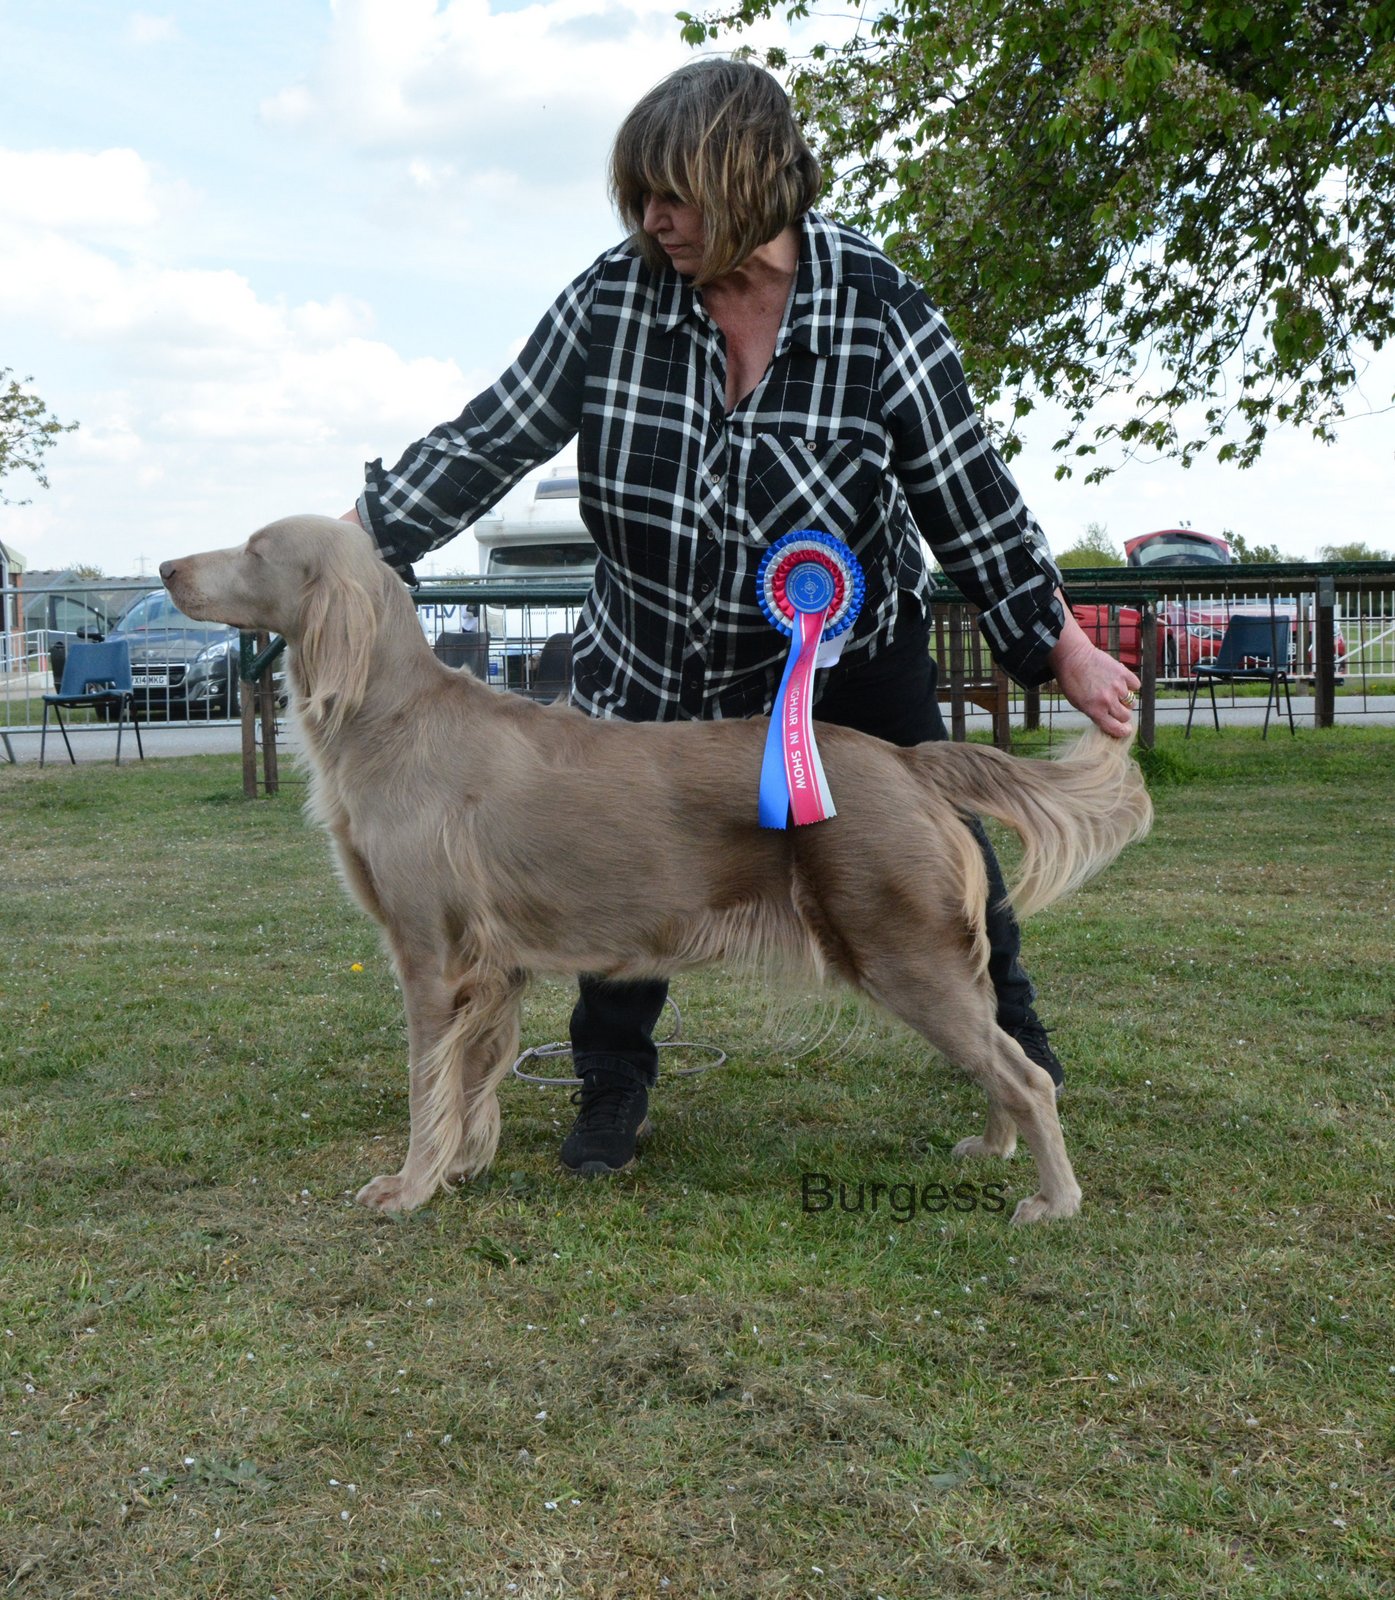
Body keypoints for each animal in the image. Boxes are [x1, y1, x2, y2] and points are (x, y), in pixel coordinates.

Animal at [158, 515, 1151, 1222]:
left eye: (255, 549)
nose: (168, 569)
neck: (394, 718)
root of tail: (908, 760)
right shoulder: (491, 965)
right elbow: (472, 1078)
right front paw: (464, 1165)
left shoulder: (430, 955)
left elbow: (425, 1082)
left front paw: (408, 1187)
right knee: (1004, 1058)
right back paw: (993, 1148)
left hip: (903, 950)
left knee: (1025, 1074)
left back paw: (1053, 1198)